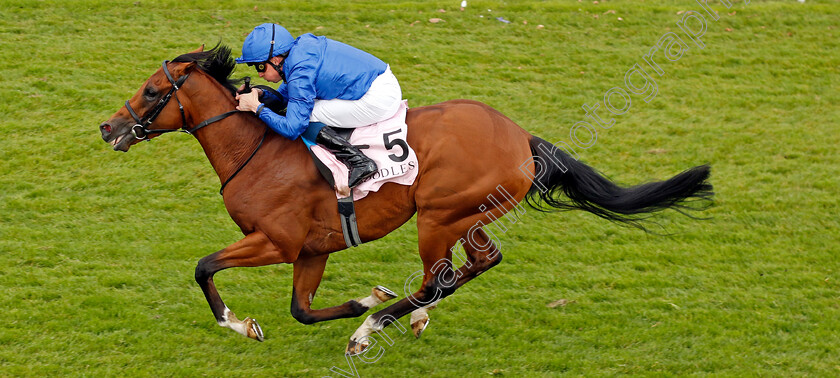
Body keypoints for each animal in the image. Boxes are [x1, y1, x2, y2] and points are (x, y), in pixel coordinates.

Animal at [100, 45, 716, 356]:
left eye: (152, 92)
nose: (109, 128)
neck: (257, 149)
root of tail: (520, 137)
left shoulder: (276, 241)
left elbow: (204, 267)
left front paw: (239, 322)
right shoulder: (313, 249)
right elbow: (301, 309)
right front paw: (357, 301)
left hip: (438, 216)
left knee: (439, 277)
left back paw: (374, 328)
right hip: (469, 216)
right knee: (475, 264)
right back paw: (404, 317)